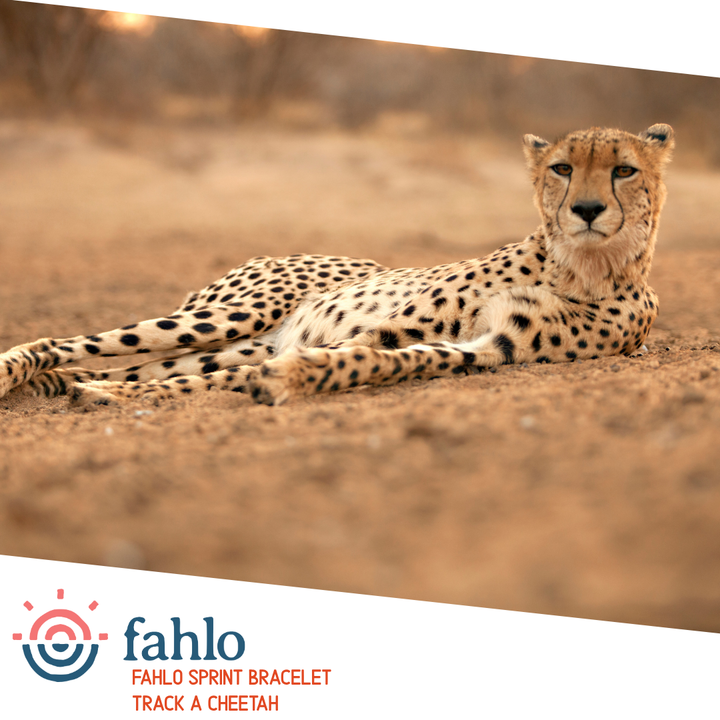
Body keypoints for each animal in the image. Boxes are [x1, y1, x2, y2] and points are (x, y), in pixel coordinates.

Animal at [0, 124, 674, 409]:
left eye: (624, 169)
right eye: (562, 168)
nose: (587, 209)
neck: (582, 264)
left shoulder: (492, 347)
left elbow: (381, 361)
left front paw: (291, 381)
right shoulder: (391, 325)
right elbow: (364, 348)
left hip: (226, 342)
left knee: (151, 367)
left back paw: (81, 386)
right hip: (229, 316)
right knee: (59, 342)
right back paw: (20, 373)